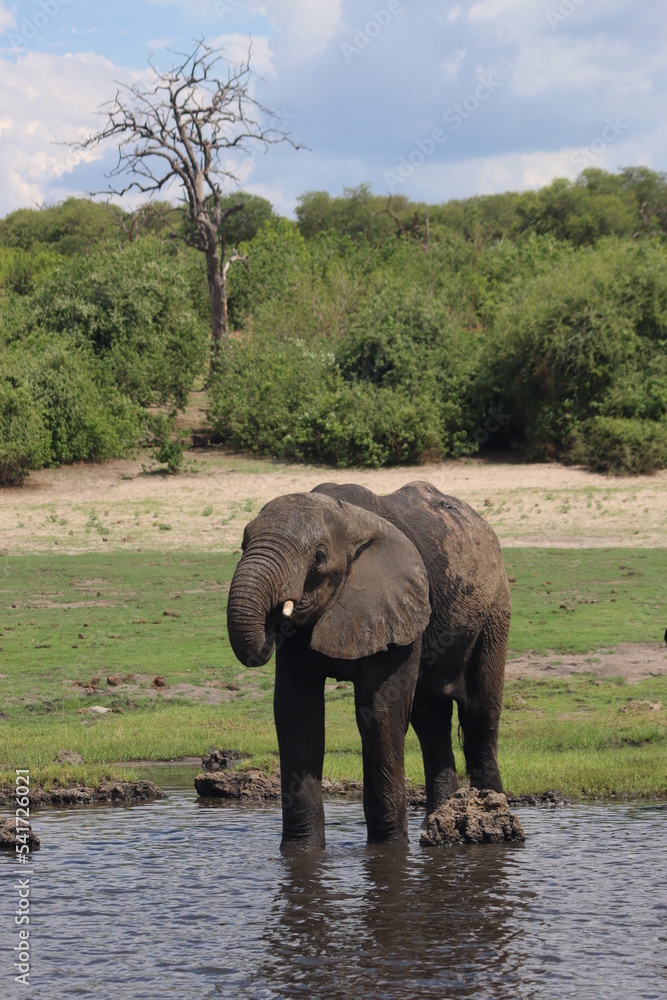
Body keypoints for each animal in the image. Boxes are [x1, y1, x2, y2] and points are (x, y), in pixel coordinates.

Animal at [226, 481, 510, 852]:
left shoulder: (395, 602)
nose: (271, 621)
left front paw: (387, 851)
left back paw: (492, 818)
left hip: (494, 611)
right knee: (430, 719)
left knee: (480, 714)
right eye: (243, 545)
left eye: (319, 558)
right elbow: (296, 713)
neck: (348, 517)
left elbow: (380, 711)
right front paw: (300, 853)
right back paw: (442, 823)